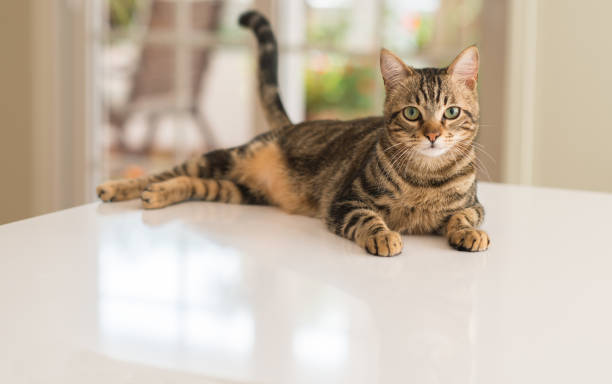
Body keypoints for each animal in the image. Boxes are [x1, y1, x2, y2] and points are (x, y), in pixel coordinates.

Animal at [95, 9, 490, 255]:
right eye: (411, 113)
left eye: (451, 112)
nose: (433, 135)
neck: (426, 177)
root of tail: (290, 125)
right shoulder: (346, 202)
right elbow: (370, 219)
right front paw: (384, 237)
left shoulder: (474, 204)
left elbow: (464, 216)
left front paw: (469, 233)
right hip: (229, 157)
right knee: (168, 171)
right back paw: (120, 187)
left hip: (240, 190)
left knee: (194, 184)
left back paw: (159, 194)